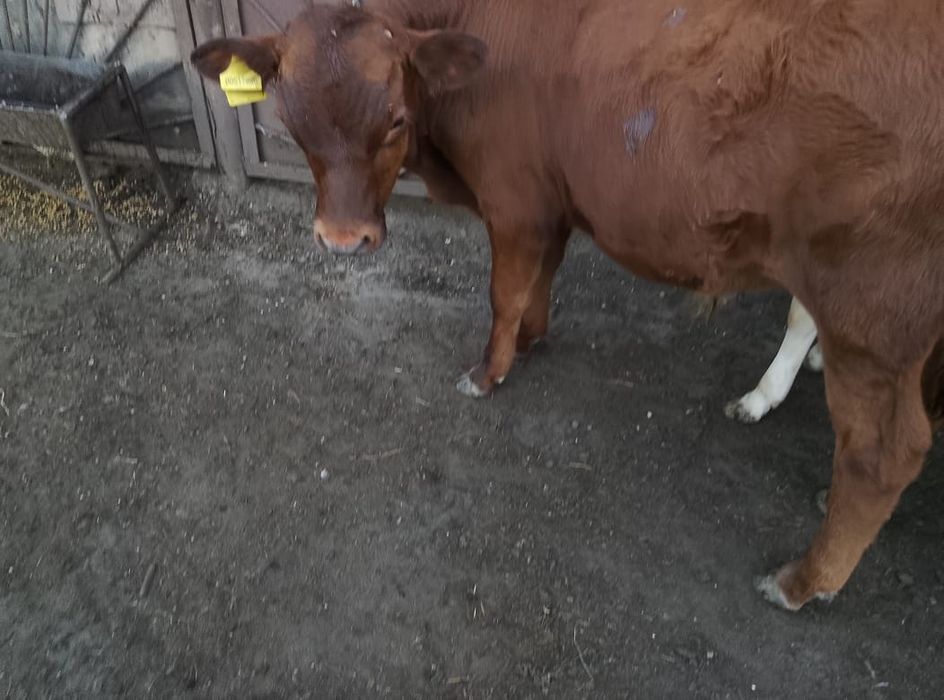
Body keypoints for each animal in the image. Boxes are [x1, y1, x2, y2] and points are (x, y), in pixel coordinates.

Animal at [191, 0, 944, 611]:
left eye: (396, 119)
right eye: (290, 121)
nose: (343, 239)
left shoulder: (516, 200)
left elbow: (503, 291)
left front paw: (489, 371)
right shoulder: (549, 203)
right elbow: (539, 281)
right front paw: (531, 339)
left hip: (871, 312)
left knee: (885, 453)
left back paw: (803, 581)